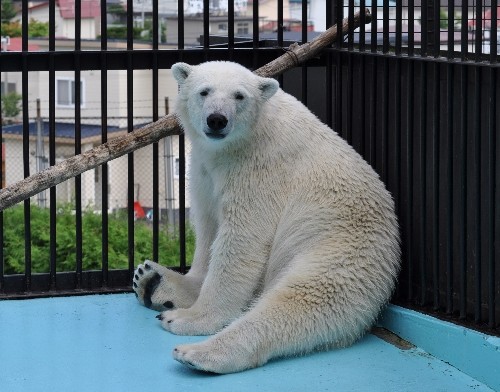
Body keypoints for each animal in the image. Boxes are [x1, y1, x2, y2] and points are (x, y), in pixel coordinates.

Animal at [132, 60, 398, 374]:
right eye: (204, 91)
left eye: (239, 96)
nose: (217, 120)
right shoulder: (205, 168)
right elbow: (209, 227)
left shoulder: (259, 168)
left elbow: (241, 240)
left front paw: (192, 318)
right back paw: (151, 281)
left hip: (340, 252)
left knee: (301, 300)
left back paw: (196, 351)